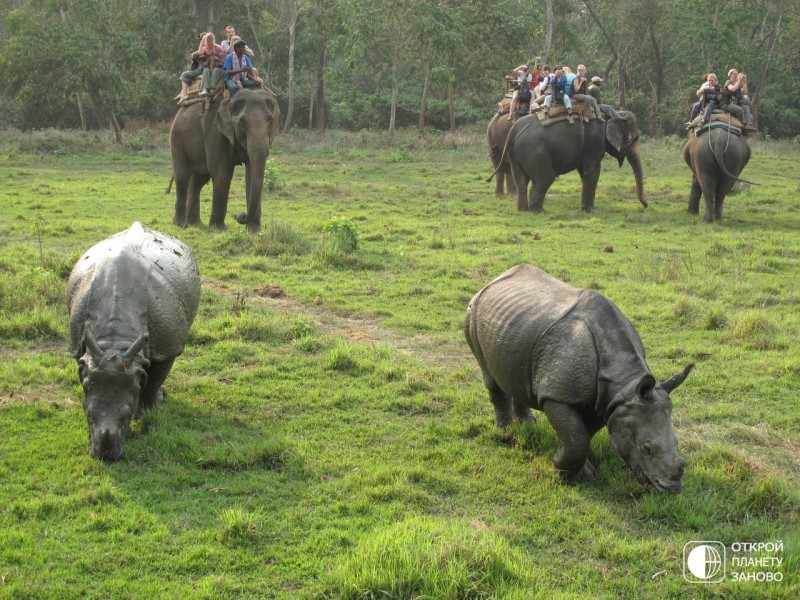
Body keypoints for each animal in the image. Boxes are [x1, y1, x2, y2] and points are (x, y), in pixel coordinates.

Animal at [169, 88, 282, 233]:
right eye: (242, 123)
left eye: (270, 121)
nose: (240, 215)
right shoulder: (215, 131)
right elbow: (222, 172)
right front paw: (219, 230)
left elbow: (250, 174)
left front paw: (254, 231)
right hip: (177, 138)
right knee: (182, 177)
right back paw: (181, 224)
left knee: (198, 181)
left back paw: (195, 223)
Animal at [500, 108, 648, 213]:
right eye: (635, 139)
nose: (646, 206)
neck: (614, 113)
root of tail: (513, 131)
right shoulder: (593, 144)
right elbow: (592, 173)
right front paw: (591, 211)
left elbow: (584, 173)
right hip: (535, 151)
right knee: (546, 178)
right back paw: (538, 211)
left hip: (517, 154)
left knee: (521, 180)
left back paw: (523, 210)